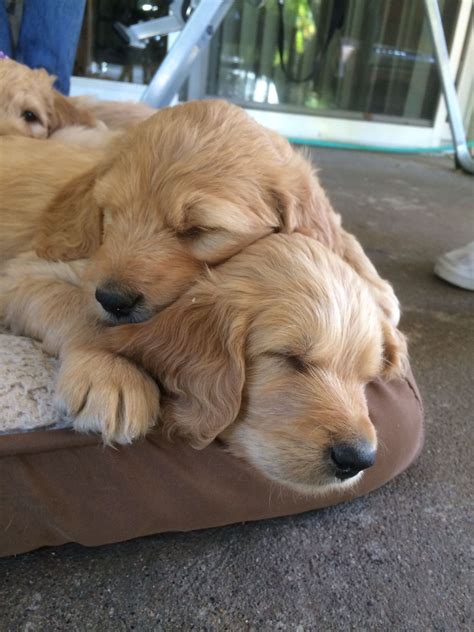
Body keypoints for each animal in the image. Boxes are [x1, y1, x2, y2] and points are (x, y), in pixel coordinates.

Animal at [0, 233, 408, 494]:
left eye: (366, 378)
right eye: (289, 358)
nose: (359, 458)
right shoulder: (30, 271)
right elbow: (78, 309)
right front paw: (111, 376)